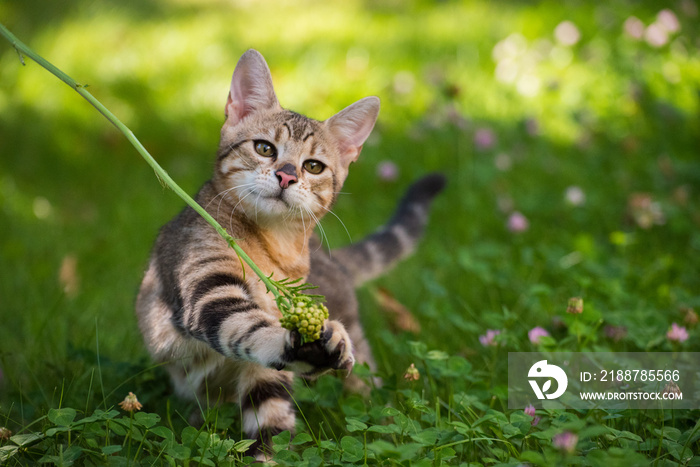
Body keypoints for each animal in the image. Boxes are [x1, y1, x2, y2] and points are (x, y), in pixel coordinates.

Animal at [135, 49, 446, 458]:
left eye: (313, 166)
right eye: (264, 148)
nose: (286, 176)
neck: (274, 247)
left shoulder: (264, 369)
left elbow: (272, 421)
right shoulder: (205, 278)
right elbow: (244, 324)